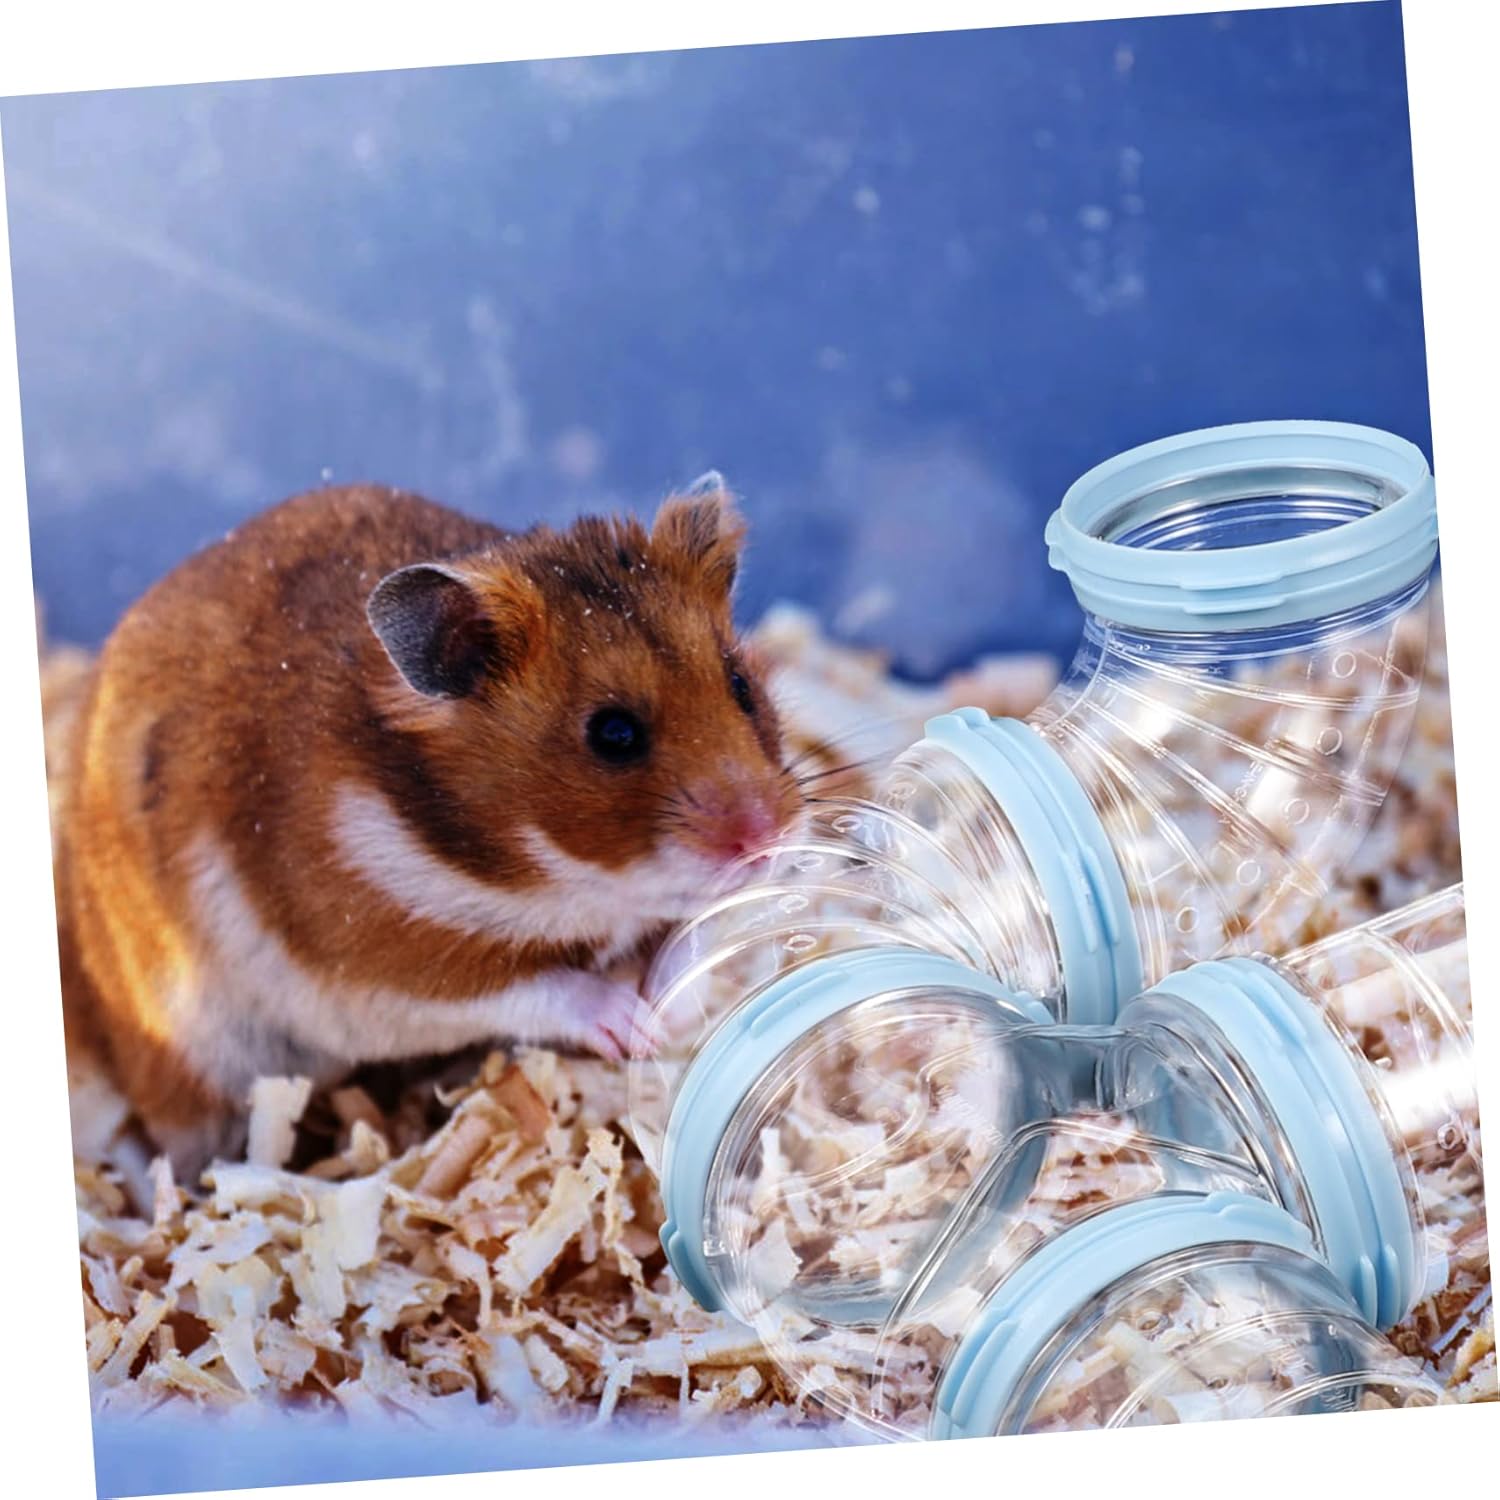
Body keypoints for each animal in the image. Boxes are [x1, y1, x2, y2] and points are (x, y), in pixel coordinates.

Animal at [54, 475, 803, 1175]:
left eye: (741, 685)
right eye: (612, 734)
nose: (765, 839)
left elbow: (698, 932)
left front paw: (667, 1011)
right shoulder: (387, 967)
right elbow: (538, 987)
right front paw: (635, 1026)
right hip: (197, 1053)